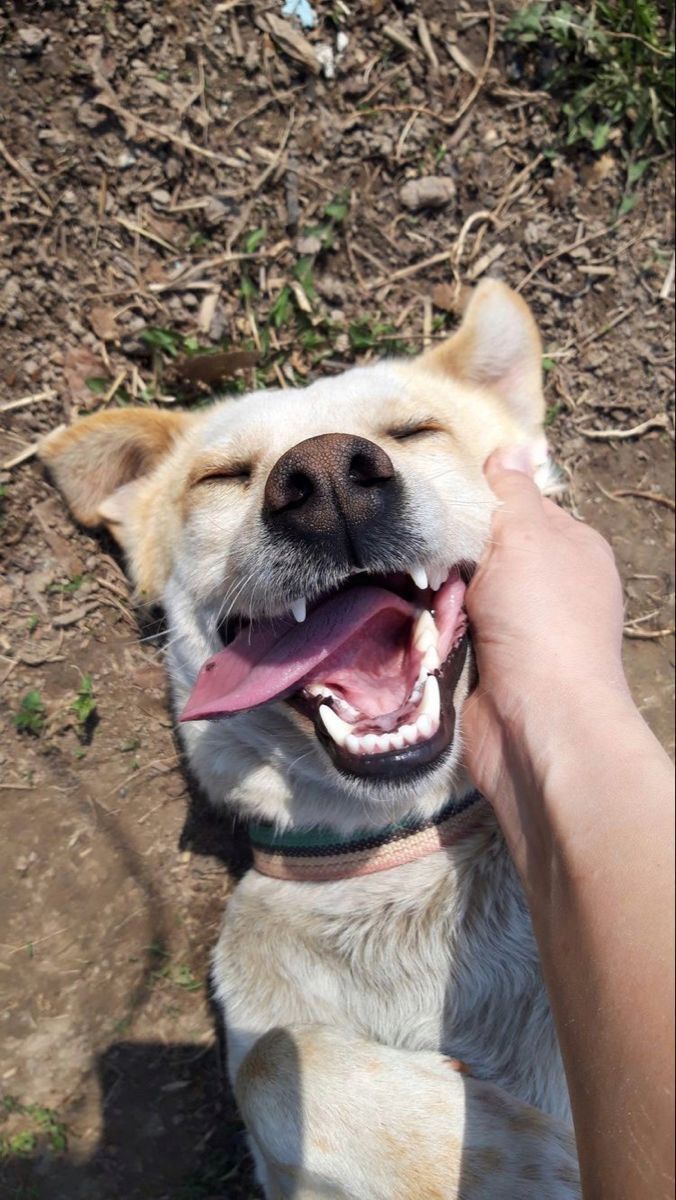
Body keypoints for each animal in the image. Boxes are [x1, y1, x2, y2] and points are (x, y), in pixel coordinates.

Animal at [42, 283, 581, 1200]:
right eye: (222, 476)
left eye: (415, 431)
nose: (326, 476)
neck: (399, 848)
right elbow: (271, 1065)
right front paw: (531, 1154)